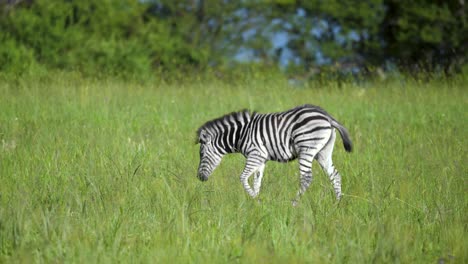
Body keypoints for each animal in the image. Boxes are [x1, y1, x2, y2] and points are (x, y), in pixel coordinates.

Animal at [196, 104, 352, 205]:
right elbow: (257, 182)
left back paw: (294, 203)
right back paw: (337, 204)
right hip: (323, 152)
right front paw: (257, 203)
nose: (199, 178)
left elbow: (243, 178)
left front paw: (256, 200)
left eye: (202, 154)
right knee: (335, 175)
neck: (241, 135)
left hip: (306, 148)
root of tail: (327, 117)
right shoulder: (261, 160)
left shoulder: (255, 155)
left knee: (306, 178)